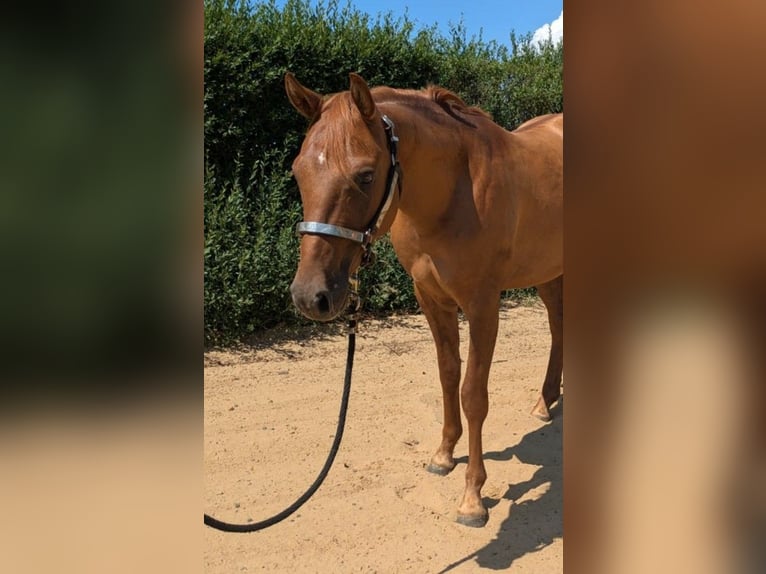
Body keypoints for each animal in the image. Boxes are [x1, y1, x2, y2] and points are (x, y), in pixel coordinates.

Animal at [285, 72, 563, 527]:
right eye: (298, 171)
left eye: (366, 175)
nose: (311, 296)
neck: (454, 194)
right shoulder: (431, 298)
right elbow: (448, 374)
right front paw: (444, 455)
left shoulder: (483, 304)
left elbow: (473, 394)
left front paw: (472, 498)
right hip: (548, 272)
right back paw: (544, 402)